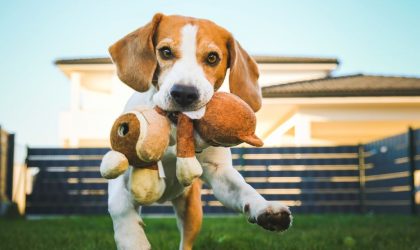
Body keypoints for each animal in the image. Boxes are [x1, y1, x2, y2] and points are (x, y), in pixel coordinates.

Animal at [108, 14, 290, 250]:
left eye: (212, 58)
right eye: (165, 52)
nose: (184, 93)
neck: (175, 129)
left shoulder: (219, 173)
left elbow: (243, 189)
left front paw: (264, 208)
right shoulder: (121, 176)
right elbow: (121, 210)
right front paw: (133, 239)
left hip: (192, 212)